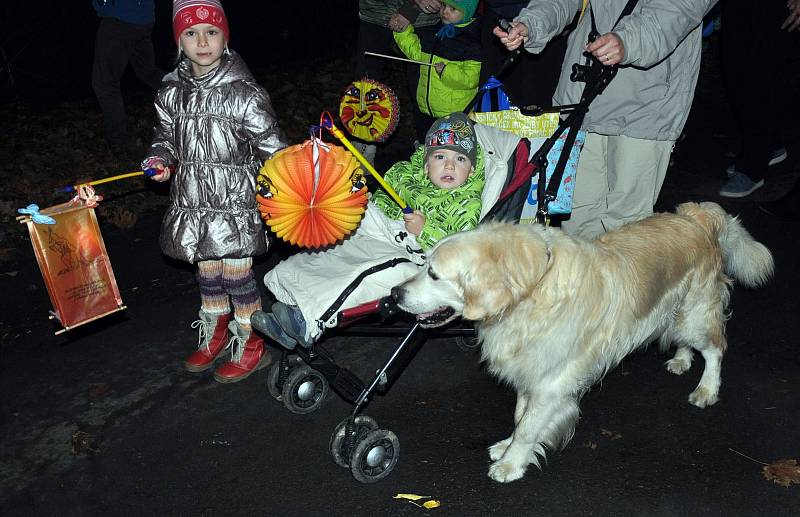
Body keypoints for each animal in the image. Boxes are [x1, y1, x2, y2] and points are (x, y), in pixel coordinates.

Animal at [394, 202, 776, 484]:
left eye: (434, 274)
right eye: (424, 263)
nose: (395, 293)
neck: (533, 291)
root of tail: (694, 217)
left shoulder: (552, 381)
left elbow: (528, 427)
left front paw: (511, 463)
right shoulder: (531, 369)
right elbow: (521, 417)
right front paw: (507, 446)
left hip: (694, 313)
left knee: (715, 349)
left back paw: (707, 389)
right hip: (675, 311)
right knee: (687, 342)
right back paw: (682, 360)